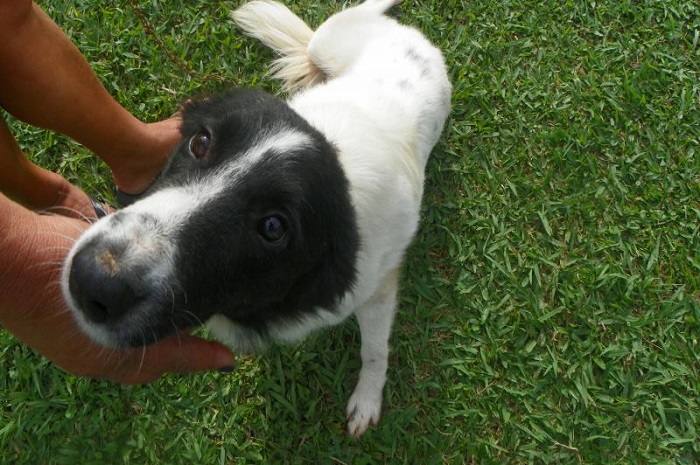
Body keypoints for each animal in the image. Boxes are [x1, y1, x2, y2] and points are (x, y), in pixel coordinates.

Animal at [63, 0, 452, 436]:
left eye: (273, 227)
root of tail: (413, 41)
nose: (93, 280)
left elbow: (374, 350)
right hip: (326, 40)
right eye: (200, 142)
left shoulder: (376, 288)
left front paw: (367, 399)